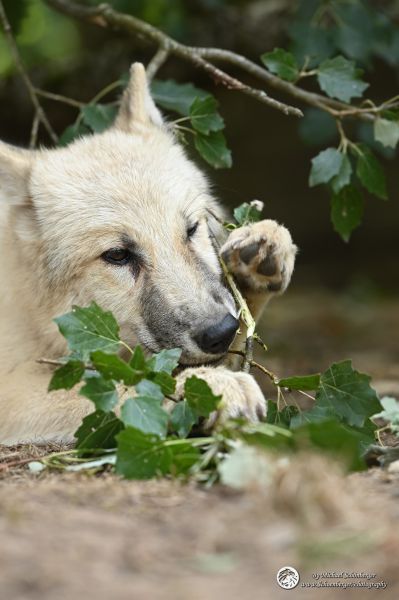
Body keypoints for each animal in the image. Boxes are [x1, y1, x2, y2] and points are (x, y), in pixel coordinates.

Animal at [0, 64, 296, 446]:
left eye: (191, 229)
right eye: (117, 255)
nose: (220, 332)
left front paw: (261, 255)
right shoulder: (14, 386)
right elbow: (123, 385)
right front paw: (209, 388)